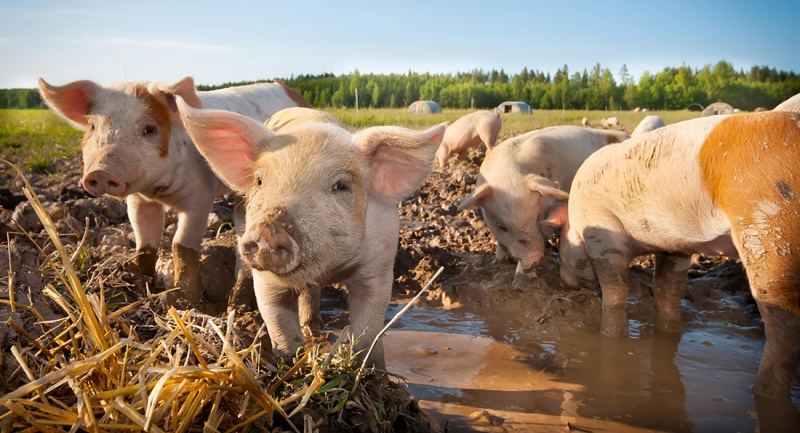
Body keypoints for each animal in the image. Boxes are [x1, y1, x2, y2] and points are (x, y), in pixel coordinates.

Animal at [39, 76, 310, 302]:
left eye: (149, 129)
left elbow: (182, 244)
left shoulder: (201, 195)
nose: (102, 172)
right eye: (93, 127)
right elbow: (145, 242)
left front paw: (184, 301)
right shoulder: (139, 200)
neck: (160, 192)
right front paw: (140, 282)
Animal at [177, 102, 446, 368]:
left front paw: (372, 370)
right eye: (260, 180)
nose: (269, 230)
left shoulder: (379, 267)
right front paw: (290, 360)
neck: (330, 270)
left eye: (341, 185)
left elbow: (368, 330)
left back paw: (314, 326)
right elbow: (278, 322)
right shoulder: (266, 281)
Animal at [548, 110, 800, 398]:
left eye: (559, 243)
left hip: (768, 227)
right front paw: (669, 333)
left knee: (783, 323)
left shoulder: (603, 235)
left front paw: (611, 337)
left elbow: (615, 292)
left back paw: (765, 391)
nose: (563, 282)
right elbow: (666, 289)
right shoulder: (674, 246)